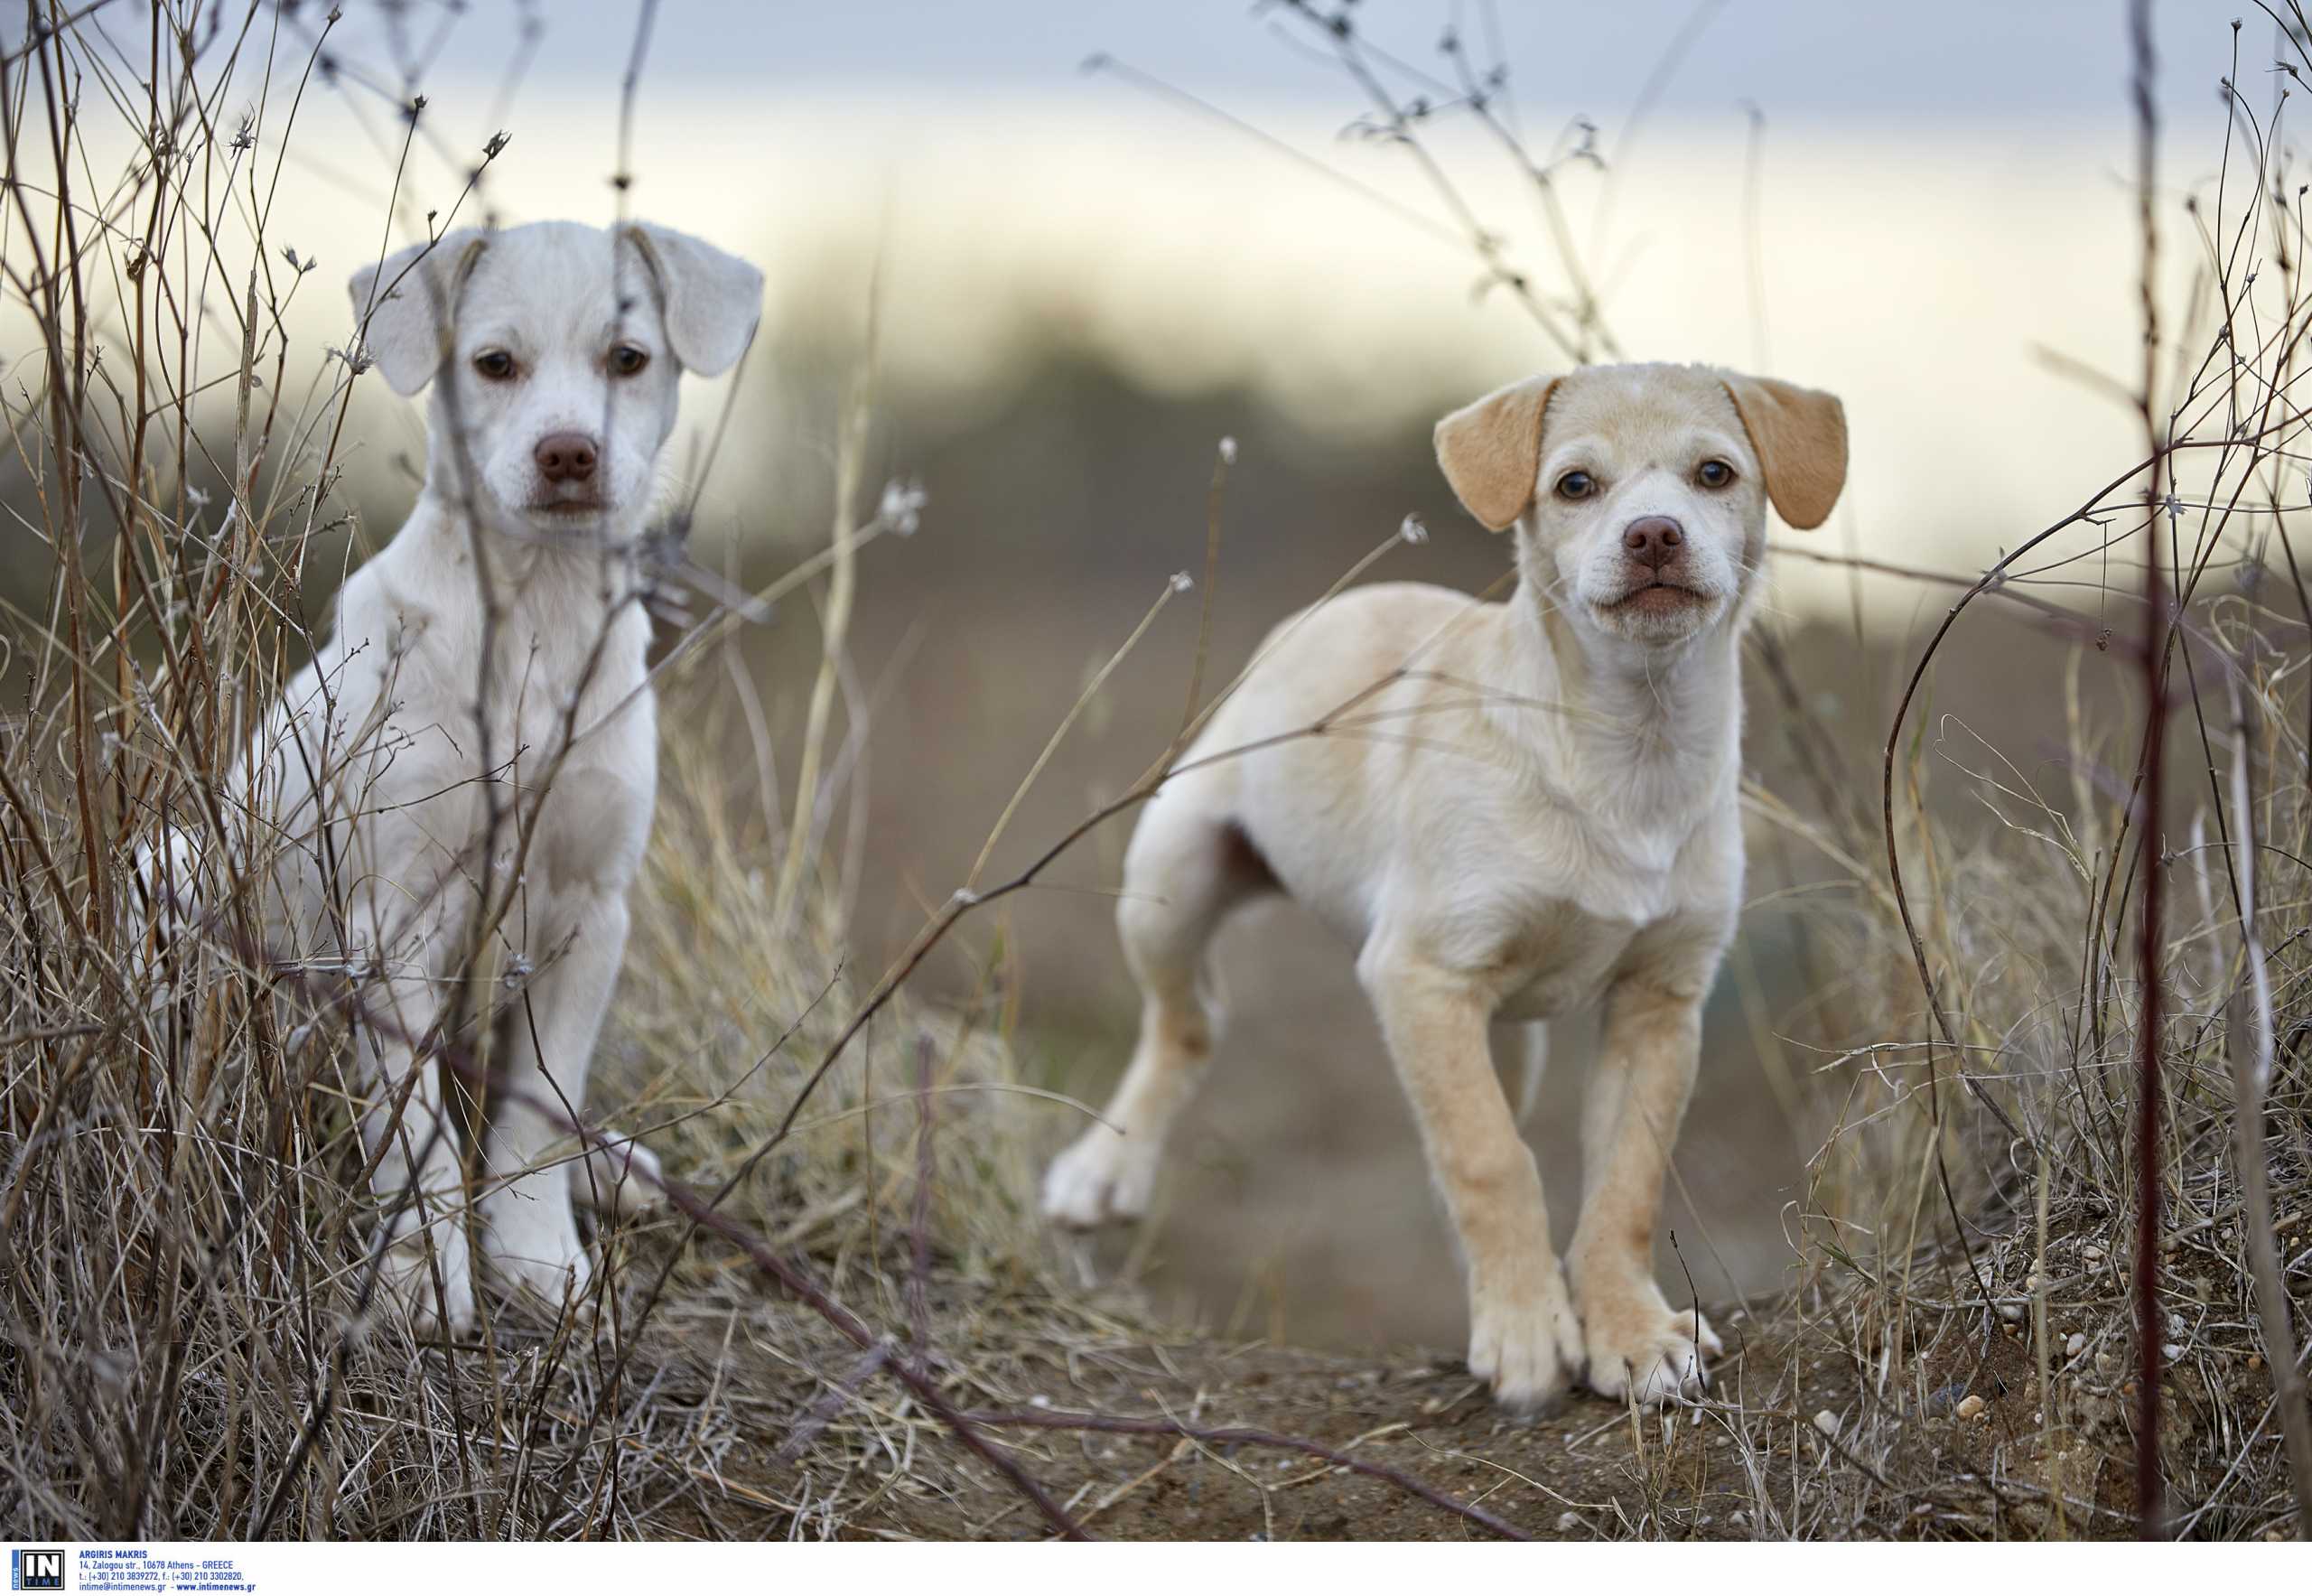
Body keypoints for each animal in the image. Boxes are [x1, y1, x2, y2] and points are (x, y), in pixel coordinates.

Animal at [151, 217, 767, 1322]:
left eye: (628, 359)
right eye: (494, 364)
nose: (568, 452)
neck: (535, 613)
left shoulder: (589, 908)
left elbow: (535, 1111)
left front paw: (535, 1255)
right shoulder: (391, 929)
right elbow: (417, 1132)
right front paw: (423, 1277)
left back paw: (612, 1167)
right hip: (175, 866)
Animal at [1058, 363, 1850, 1406]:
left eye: (1714, 473)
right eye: (1575, 485)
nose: (1653, 535)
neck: (1628, 748)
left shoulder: (1660, 1001)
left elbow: (1623, 1183)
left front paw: (1627, 1329)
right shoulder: (1421, 975)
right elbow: (1491, 1159)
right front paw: (1525, 1333)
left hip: (1501, 1035)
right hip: (1171, 877)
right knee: (1185, 1024)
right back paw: (1103, 1173)